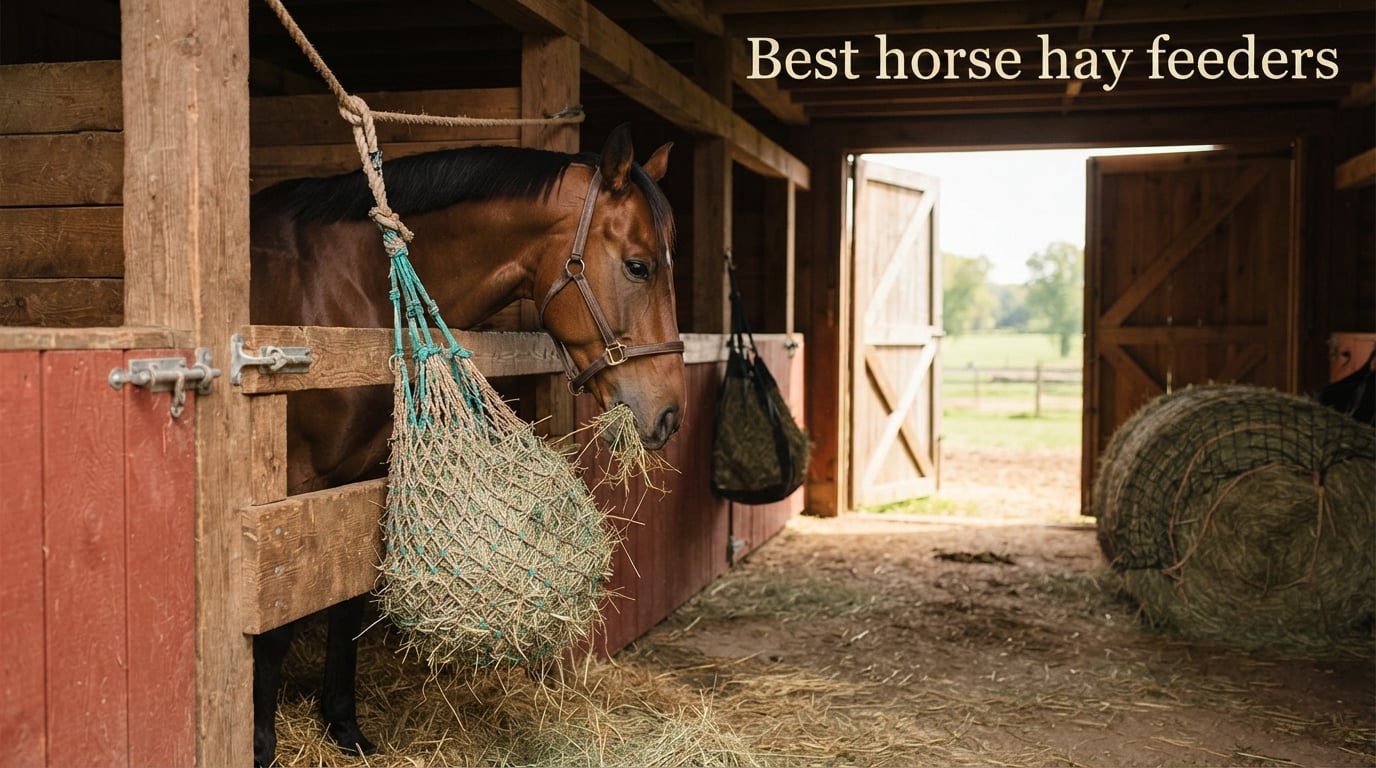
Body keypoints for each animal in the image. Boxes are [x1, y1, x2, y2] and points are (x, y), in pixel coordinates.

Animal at [247, 124, 683, 767]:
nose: (671, 413)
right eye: (638, 266)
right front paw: (259, 744)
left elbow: (346, 602)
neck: (340, 289)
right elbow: (274, 618)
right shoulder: (288, 490)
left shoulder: (363, 477)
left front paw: (344, 726)